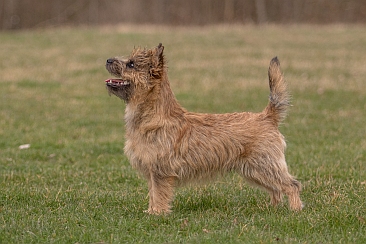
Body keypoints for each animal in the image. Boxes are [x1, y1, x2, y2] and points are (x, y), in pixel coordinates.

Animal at [104, 43, 302, 215]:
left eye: (131, 64)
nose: (108, 59)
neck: (154, 115)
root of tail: (267, 117)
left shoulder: (160, 171)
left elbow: (159, 193)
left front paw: (157, 214)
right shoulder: (153, 172)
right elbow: (153, 193)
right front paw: (151, 211)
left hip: (264, 165)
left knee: (291, 184)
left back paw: (295, 210)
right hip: (255, 171)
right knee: (276, 189)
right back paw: (272, 208)